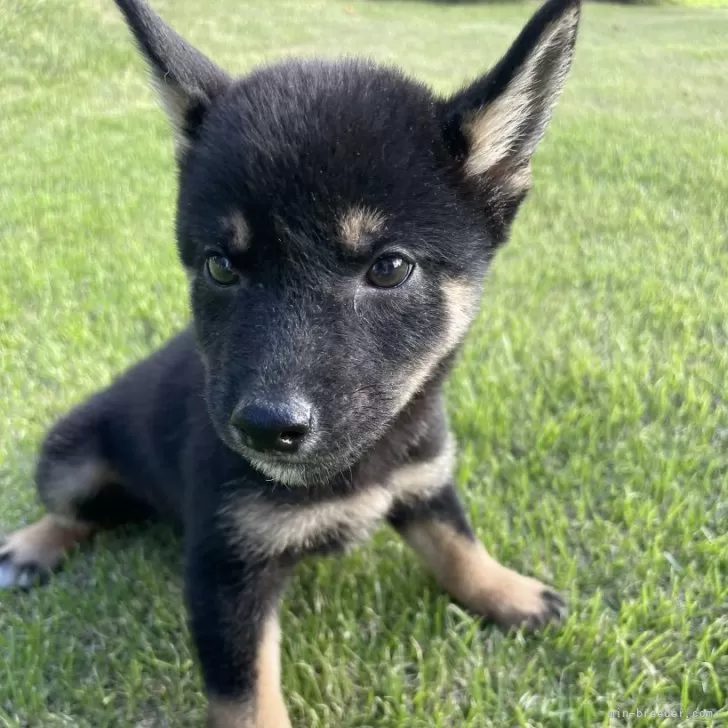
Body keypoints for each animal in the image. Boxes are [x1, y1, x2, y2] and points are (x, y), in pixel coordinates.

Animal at [0, 1, 580, 724]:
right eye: (221, 267)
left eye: (390, 268)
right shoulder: (225, 572)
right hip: (69, 456)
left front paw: (506, 591)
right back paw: (30, 546)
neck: (359, 464)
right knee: (75, 511)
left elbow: (457, 543)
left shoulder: (423, 476)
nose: (264, 429)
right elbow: (247, 696)